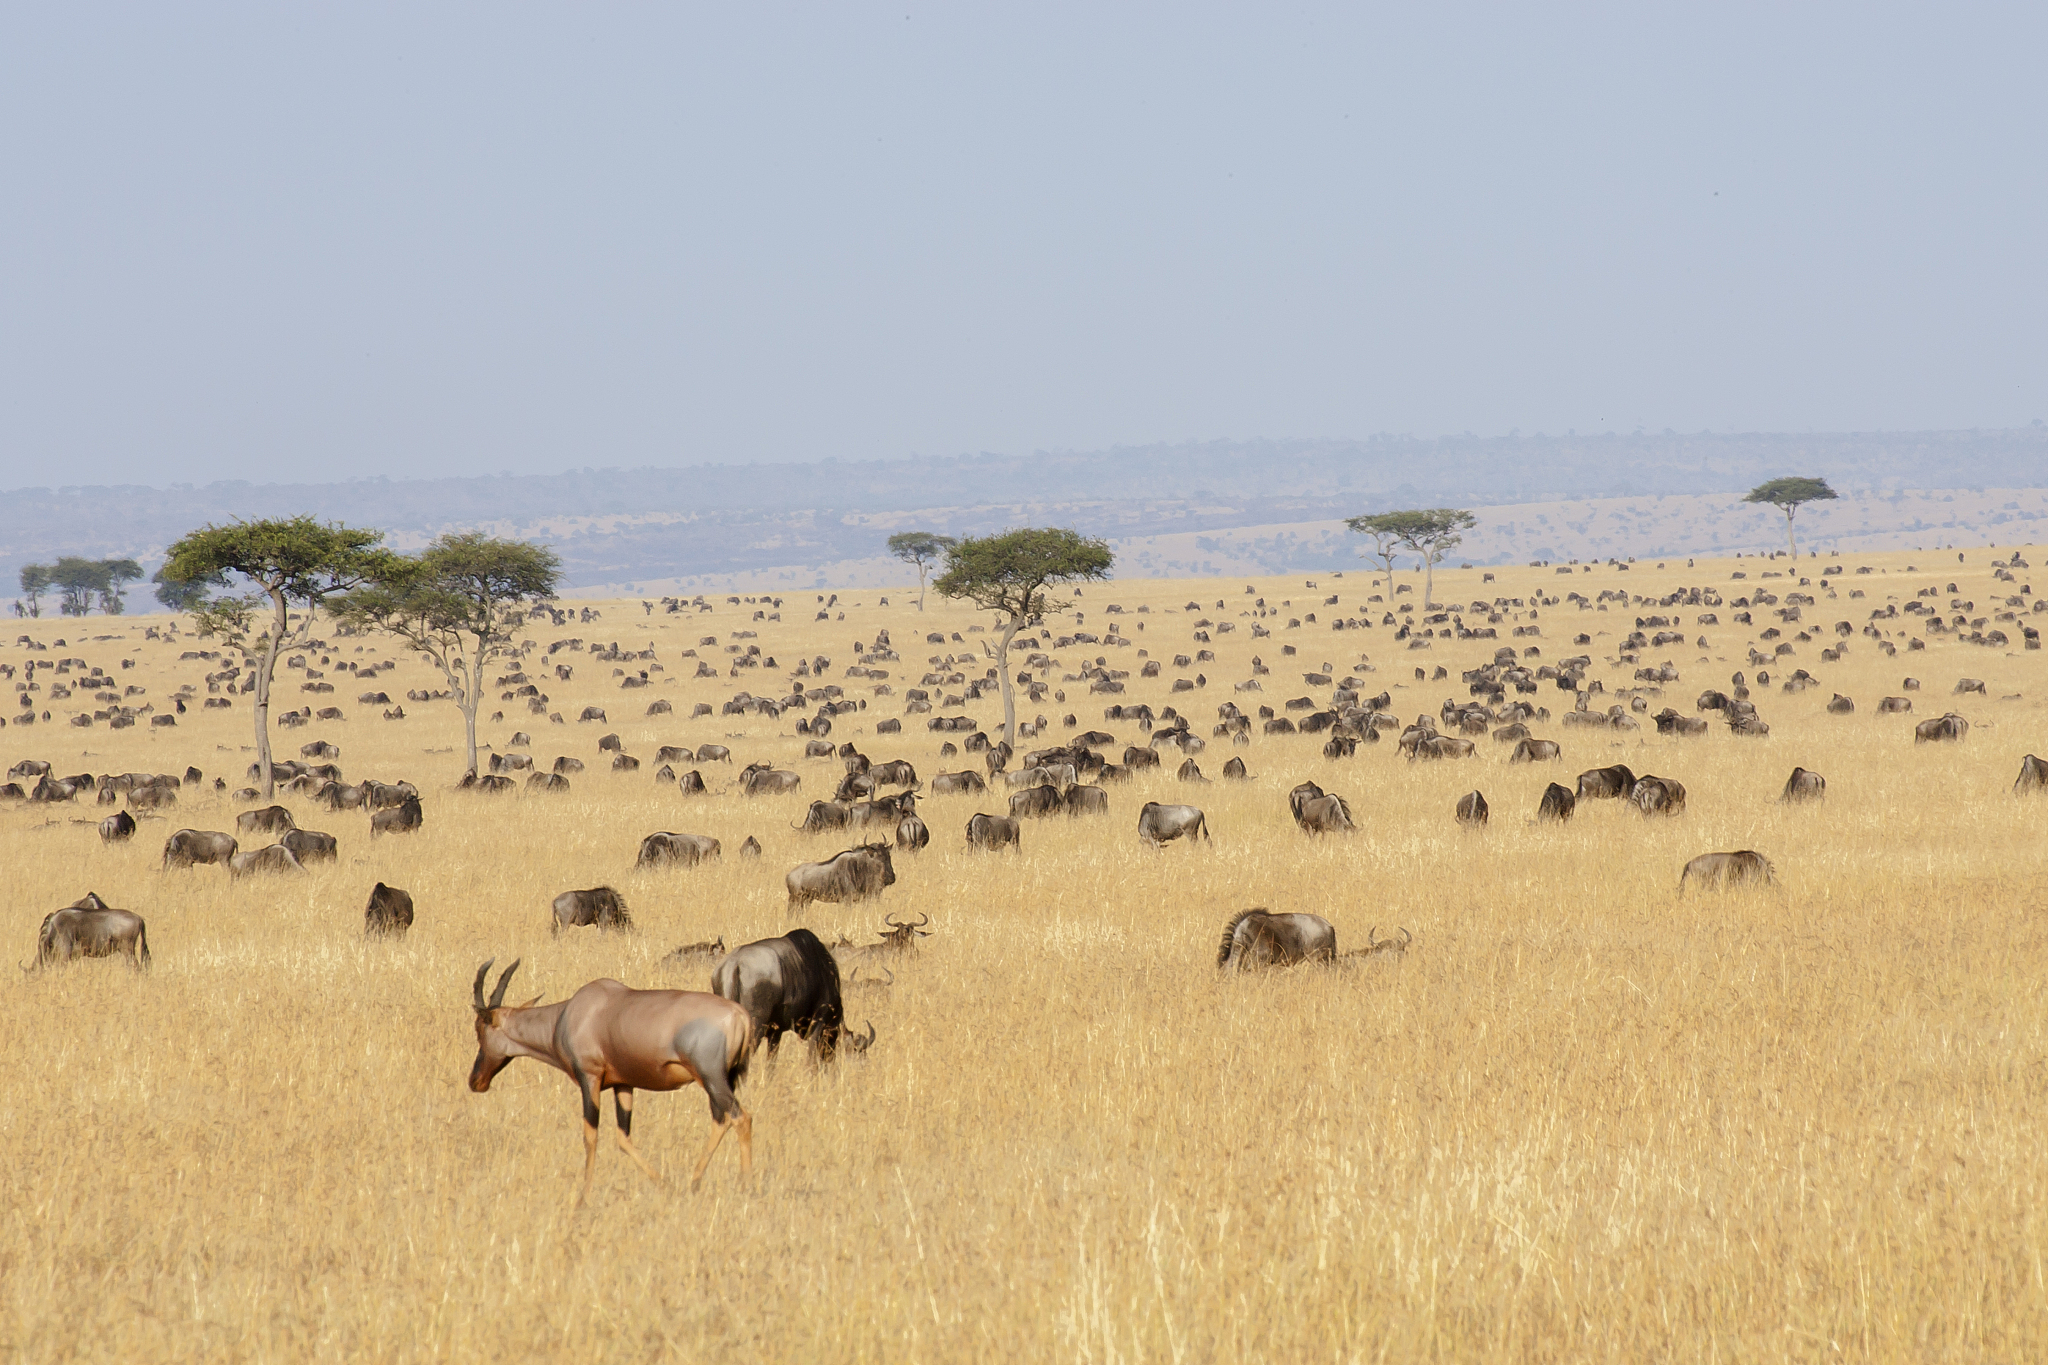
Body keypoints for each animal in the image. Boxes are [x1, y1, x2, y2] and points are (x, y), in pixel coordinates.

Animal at [468, 958, 757, 1205]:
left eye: (480, 1028)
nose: (475, 1081)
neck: (570, 1013)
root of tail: (740, 1015)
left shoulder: (590, 1079)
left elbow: (590, 1136)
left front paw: (583, 1199)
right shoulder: (624, 1084)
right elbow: (623, 1137)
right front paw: (664, 1184)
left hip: (711, 1078)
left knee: (740, 1117)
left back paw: (745, 1186)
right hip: (722, 1080)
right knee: (721, 1120)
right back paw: (694, 1182)